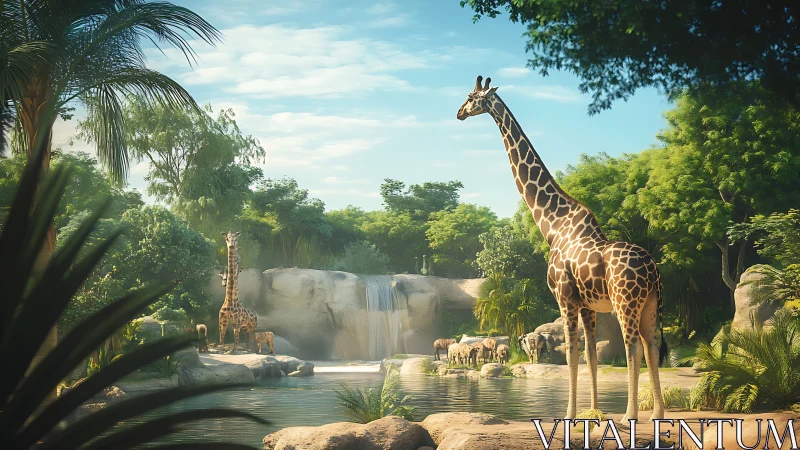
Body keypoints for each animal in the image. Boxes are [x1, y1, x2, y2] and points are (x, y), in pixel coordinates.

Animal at [457, 75, 668, 422]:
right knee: (651, 345)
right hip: (650, 303)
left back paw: (631, 414)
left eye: (472, 97)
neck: (553, 227)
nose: (459, 112)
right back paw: (658, 414)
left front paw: (569, 414)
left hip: (626, 302)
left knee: (632, 347)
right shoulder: (587, 305)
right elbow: (590, 355)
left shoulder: (564, 297)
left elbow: (571, 352)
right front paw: (593, 411)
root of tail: (652, 270)